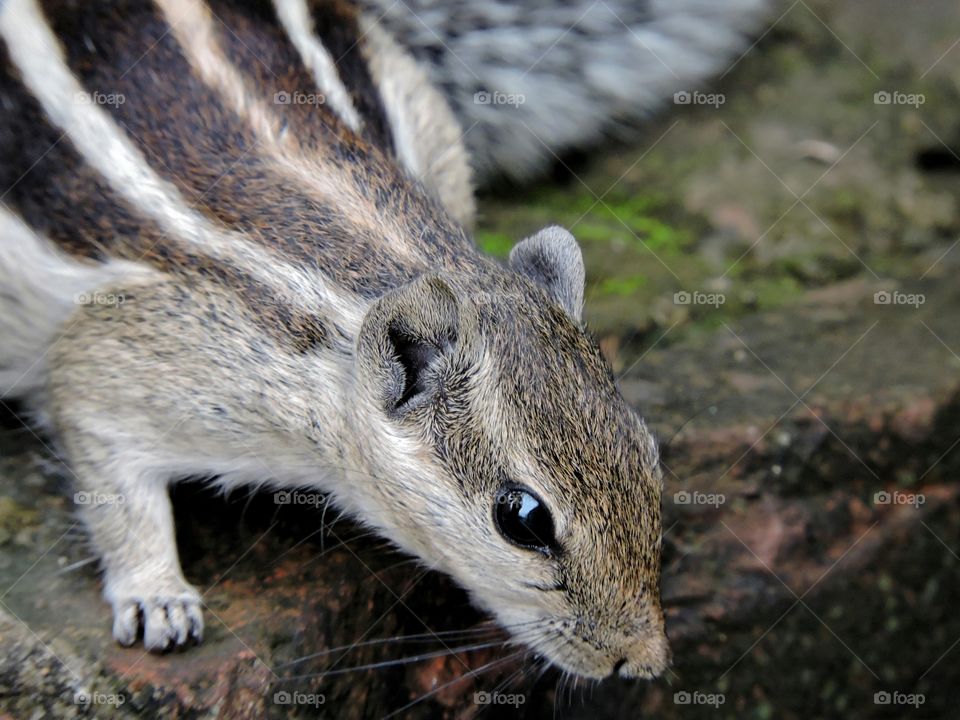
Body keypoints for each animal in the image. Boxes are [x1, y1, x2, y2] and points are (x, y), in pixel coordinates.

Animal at [0, 0, 766, 680]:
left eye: (649, 454)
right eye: (523, 520)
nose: (645, 661)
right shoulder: (136, 355)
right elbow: (104, 455)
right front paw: (157, 594)